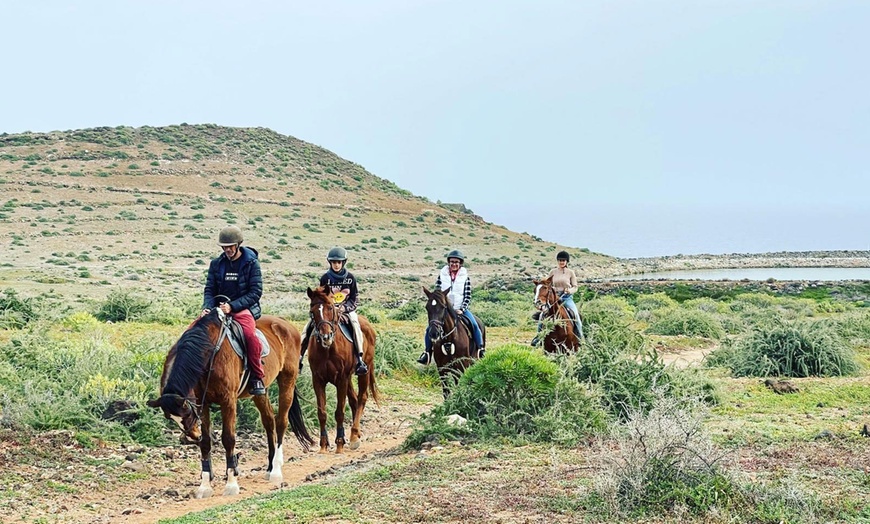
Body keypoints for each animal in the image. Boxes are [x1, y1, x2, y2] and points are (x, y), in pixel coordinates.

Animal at [146, 310, 314, 498]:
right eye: (170, 418)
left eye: (187, 412)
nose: (191, 437)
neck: (209, 352)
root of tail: (285, 324)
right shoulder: (203, 403)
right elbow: (206, 442)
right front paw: (205, 486)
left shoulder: (228, 401)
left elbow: (228, 439)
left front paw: (231, 484)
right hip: (260, 392)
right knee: (269, 421)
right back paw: (270, 467)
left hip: (287, 380)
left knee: (281, 421)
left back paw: (276, 470)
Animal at [306, 284, 378, 452]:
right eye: (312, 311)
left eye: (330, 308)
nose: (326, 337)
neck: (327, 350)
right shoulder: (318, 380)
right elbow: (322, 412)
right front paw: (324, 445)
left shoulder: (341, 379)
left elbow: (339, 412)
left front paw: (339, 442)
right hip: (349, 378)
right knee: (353, 400)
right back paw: (355, 434)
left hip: (362, 372)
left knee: (362, 397)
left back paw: (354, 437)